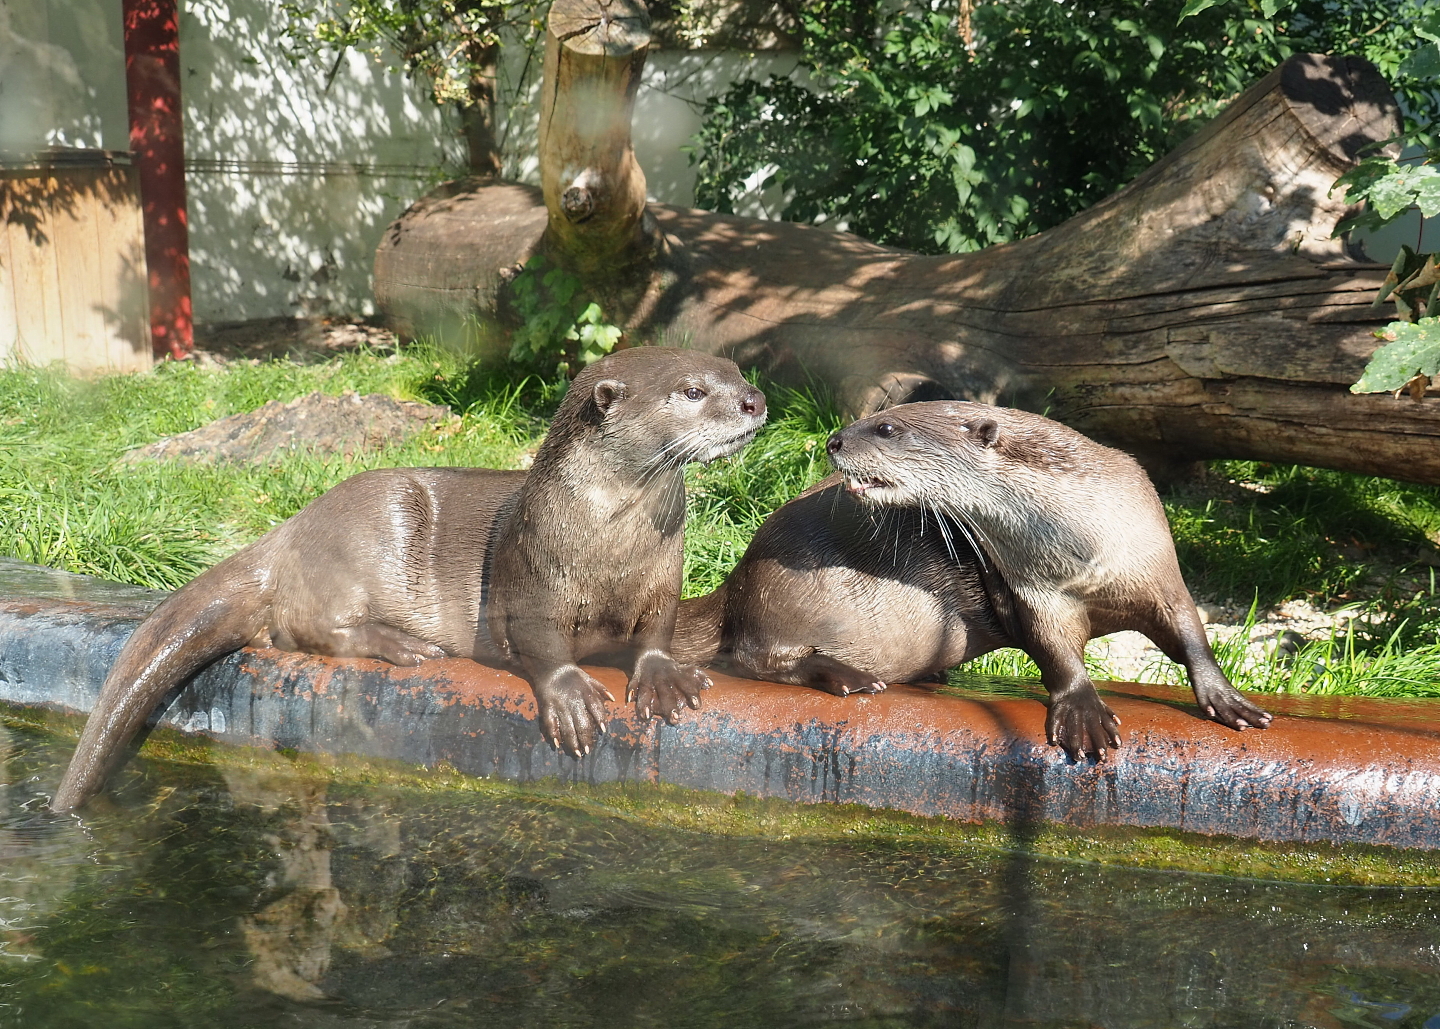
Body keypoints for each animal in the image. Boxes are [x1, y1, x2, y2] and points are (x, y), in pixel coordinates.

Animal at [52, 347, 766, 812]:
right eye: (692, 392)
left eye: (736, 373)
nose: (755, 400)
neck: (611, 544)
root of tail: (284, 532)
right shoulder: (529, 581)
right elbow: (540, 644)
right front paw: (570, 696)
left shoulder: (662, 583)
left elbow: (657, 633)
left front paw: (665, 678)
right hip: (366, 537)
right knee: (302, 630)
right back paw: (402, 645)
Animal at [676, 401, 1269, 761]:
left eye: (887, 428)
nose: (834, 439)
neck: (1082, 551)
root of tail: (738, 578)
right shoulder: (1036, 594)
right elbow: (1056, 652)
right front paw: (1083, 712)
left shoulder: (1159, 568)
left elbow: (1191, 634)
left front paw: (1228, 701)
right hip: (780, 595)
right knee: (755, 657)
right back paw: (846, 675)